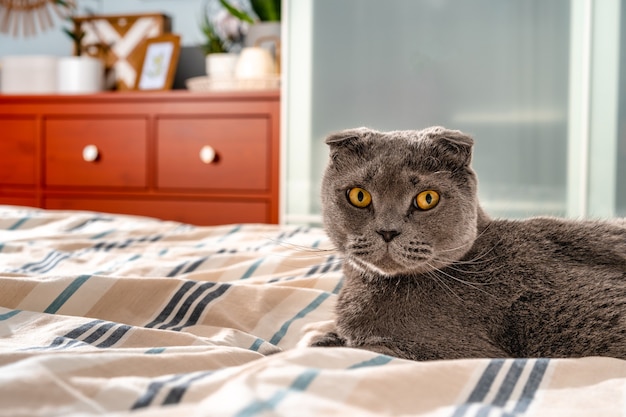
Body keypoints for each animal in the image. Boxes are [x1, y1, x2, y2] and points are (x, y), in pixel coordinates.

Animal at [314, 125, 624, 360]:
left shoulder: (460, 351)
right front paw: (328, 336)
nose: (387, 231)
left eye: (427, 198)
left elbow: (364, 347)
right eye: (359, 196)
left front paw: (328, 340)